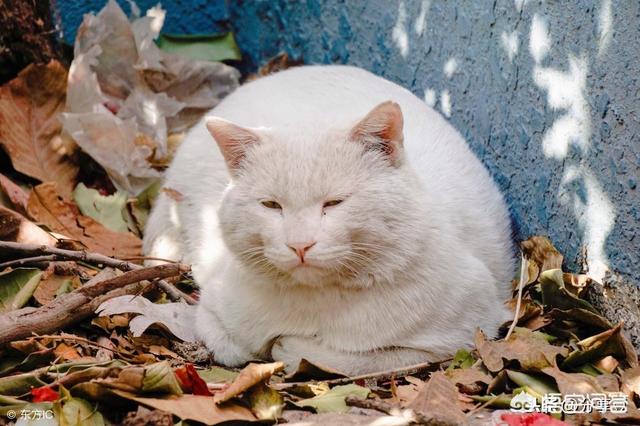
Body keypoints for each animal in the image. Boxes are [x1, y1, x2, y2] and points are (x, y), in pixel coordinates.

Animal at [145, 65, 516, 374]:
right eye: (271, 205)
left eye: (334, 203)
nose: (299, 244)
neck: (319, 302)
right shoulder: (211, 307)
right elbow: (230, 346)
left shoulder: (465, 333)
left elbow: (362, 359)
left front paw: (290, 347)